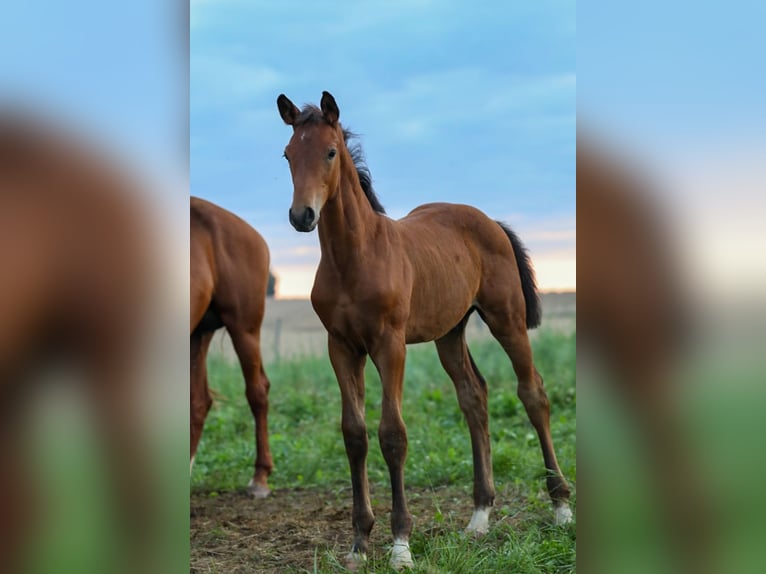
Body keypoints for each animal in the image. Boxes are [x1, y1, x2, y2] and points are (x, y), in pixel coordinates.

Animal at [276, 91, 573, 570]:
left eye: (330, 152)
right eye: (287, 154)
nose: (302, 215)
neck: (354, 257)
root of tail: (490, 220)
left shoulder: (390, 344)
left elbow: (392, 435)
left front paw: (401, 546)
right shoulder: (341, 347)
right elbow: (354, 434)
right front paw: (359, 544)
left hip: (506, 319)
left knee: (533, 393)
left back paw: (561, 507)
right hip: (449, 332)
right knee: (474, 397)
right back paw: (479, 517)